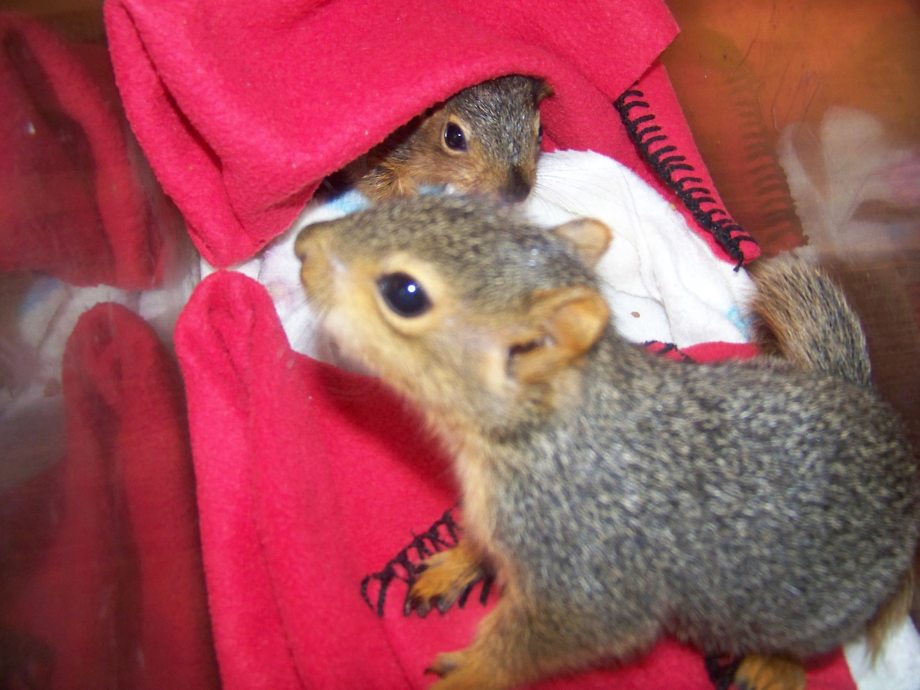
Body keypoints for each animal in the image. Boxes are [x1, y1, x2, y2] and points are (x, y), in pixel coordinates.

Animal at [294, 196, 920, 690]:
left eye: (404, 293)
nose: (302, 244)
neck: (542, 435)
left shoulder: (588, 581)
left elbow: (538, 645)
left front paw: (466, 677)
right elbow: (481, 541)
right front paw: (456, 564)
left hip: (813, 609)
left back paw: (774, 667)